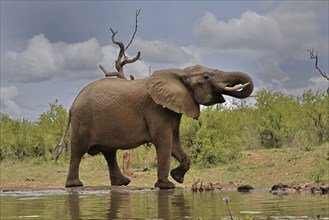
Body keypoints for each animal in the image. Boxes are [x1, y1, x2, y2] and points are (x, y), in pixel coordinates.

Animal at [60, 64, 252, 189]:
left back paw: (122, 183)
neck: (180, 73)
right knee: (78, 150)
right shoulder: (157, 109)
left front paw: (177, 178)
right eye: (206, 77)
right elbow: (165, 141)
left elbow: (175, 143)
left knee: (109, 153)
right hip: (83, 121)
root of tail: (72, 105)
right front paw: (167, 185)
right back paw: (75, 185)